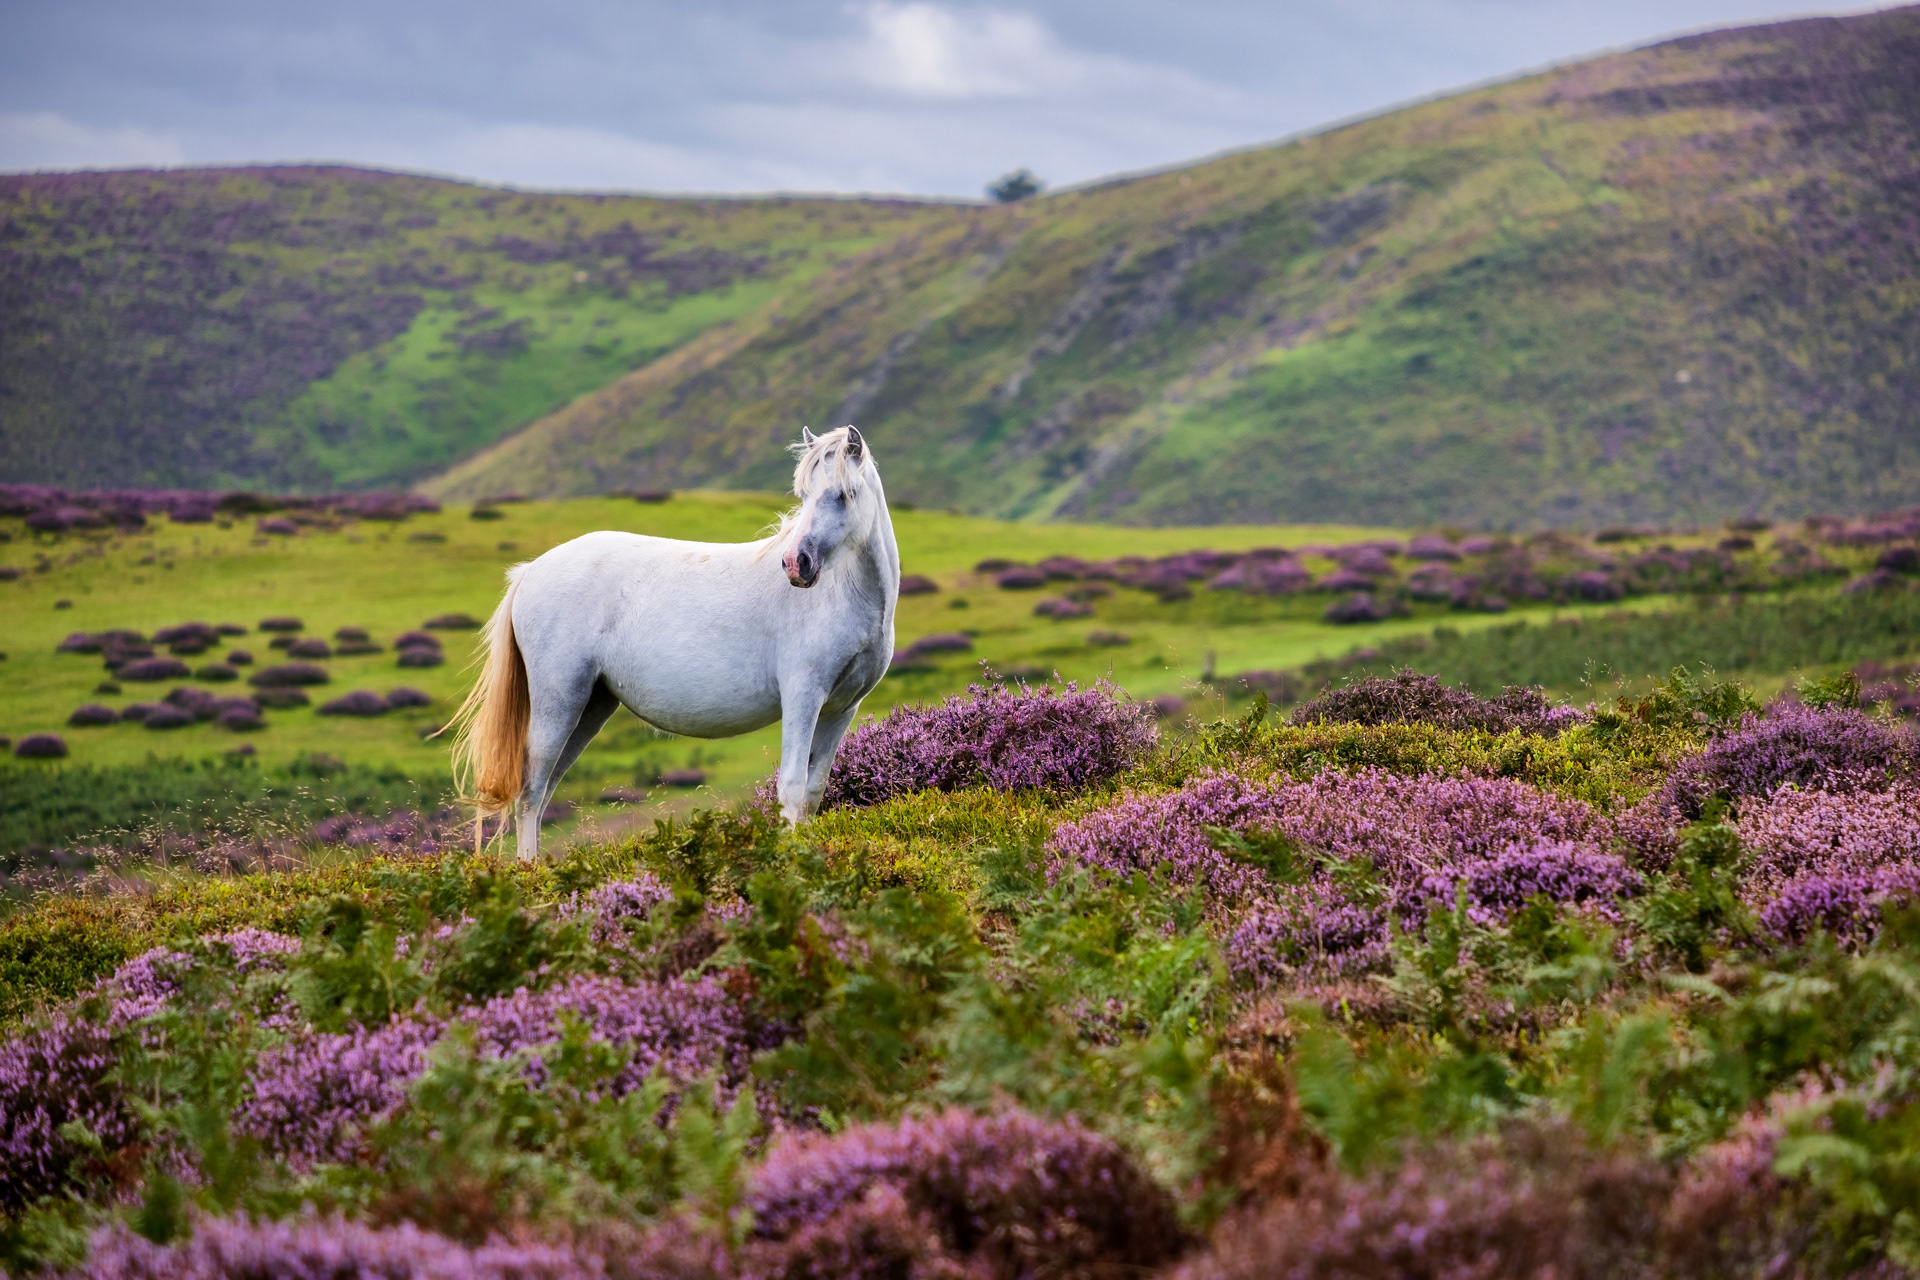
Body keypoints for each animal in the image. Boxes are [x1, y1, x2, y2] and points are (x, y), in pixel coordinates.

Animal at [450, 425, 899, 860]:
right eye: (803, 495)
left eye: (845, 494)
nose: (795, 564)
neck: (843, 595)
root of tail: (531, 571)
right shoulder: (802, 698)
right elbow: (790, 787)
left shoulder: (840, 709)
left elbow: (812, 791)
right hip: (557, 704)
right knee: (530, 792)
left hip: (590, 708)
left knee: (544, 793)